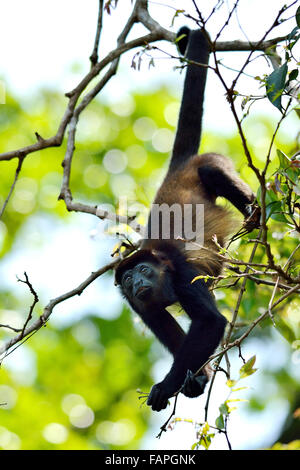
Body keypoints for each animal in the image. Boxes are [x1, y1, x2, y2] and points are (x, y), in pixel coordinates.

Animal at [113, 28, 258, 412]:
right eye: (128, 279)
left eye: (142, 271)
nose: (136, 281)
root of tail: (179, 165)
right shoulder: (139, 306)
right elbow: (170, 332)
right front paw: (197, 379)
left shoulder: (181, 270)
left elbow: (209, 322)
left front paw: (167, 384)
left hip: (210, 161)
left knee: (212, 171)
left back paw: (256, 215)